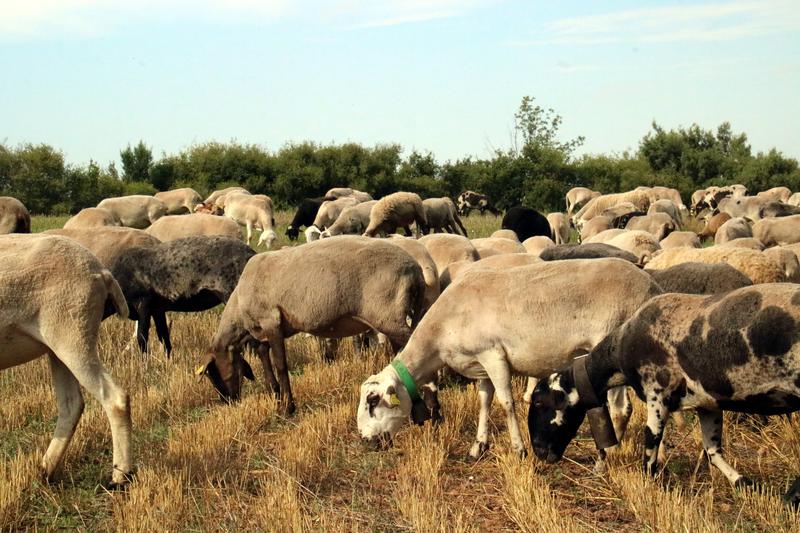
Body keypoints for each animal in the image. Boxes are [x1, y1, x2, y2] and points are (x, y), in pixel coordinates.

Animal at [532, 282, 800, 502]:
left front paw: (649, 486)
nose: (539, 452)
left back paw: (791, 498)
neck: (620, 350)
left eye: (539, 403)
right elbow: (712, 451)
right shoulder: (707, 404)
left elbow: (651, 441)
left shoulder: (657, 394)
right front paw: (743, 482)